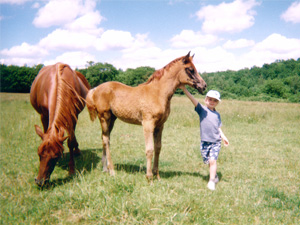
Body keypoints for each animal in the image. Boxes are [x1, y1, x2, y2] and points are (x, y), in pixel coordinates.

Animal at [86, 52, 206, 181]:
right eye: (190, 69)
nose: (203, 85)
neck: (158, 93)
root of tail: (96, 89)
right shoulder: (148, 124)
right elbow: (149, 150)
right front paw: (149, 177)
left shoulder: (160, 126)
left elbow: (158, 148)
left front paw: (157, 175)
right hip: (104, 117)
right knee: (106, 140)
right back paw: (112, 171)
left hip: (112, 119)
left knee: (104, 138)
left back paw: (105, 168)